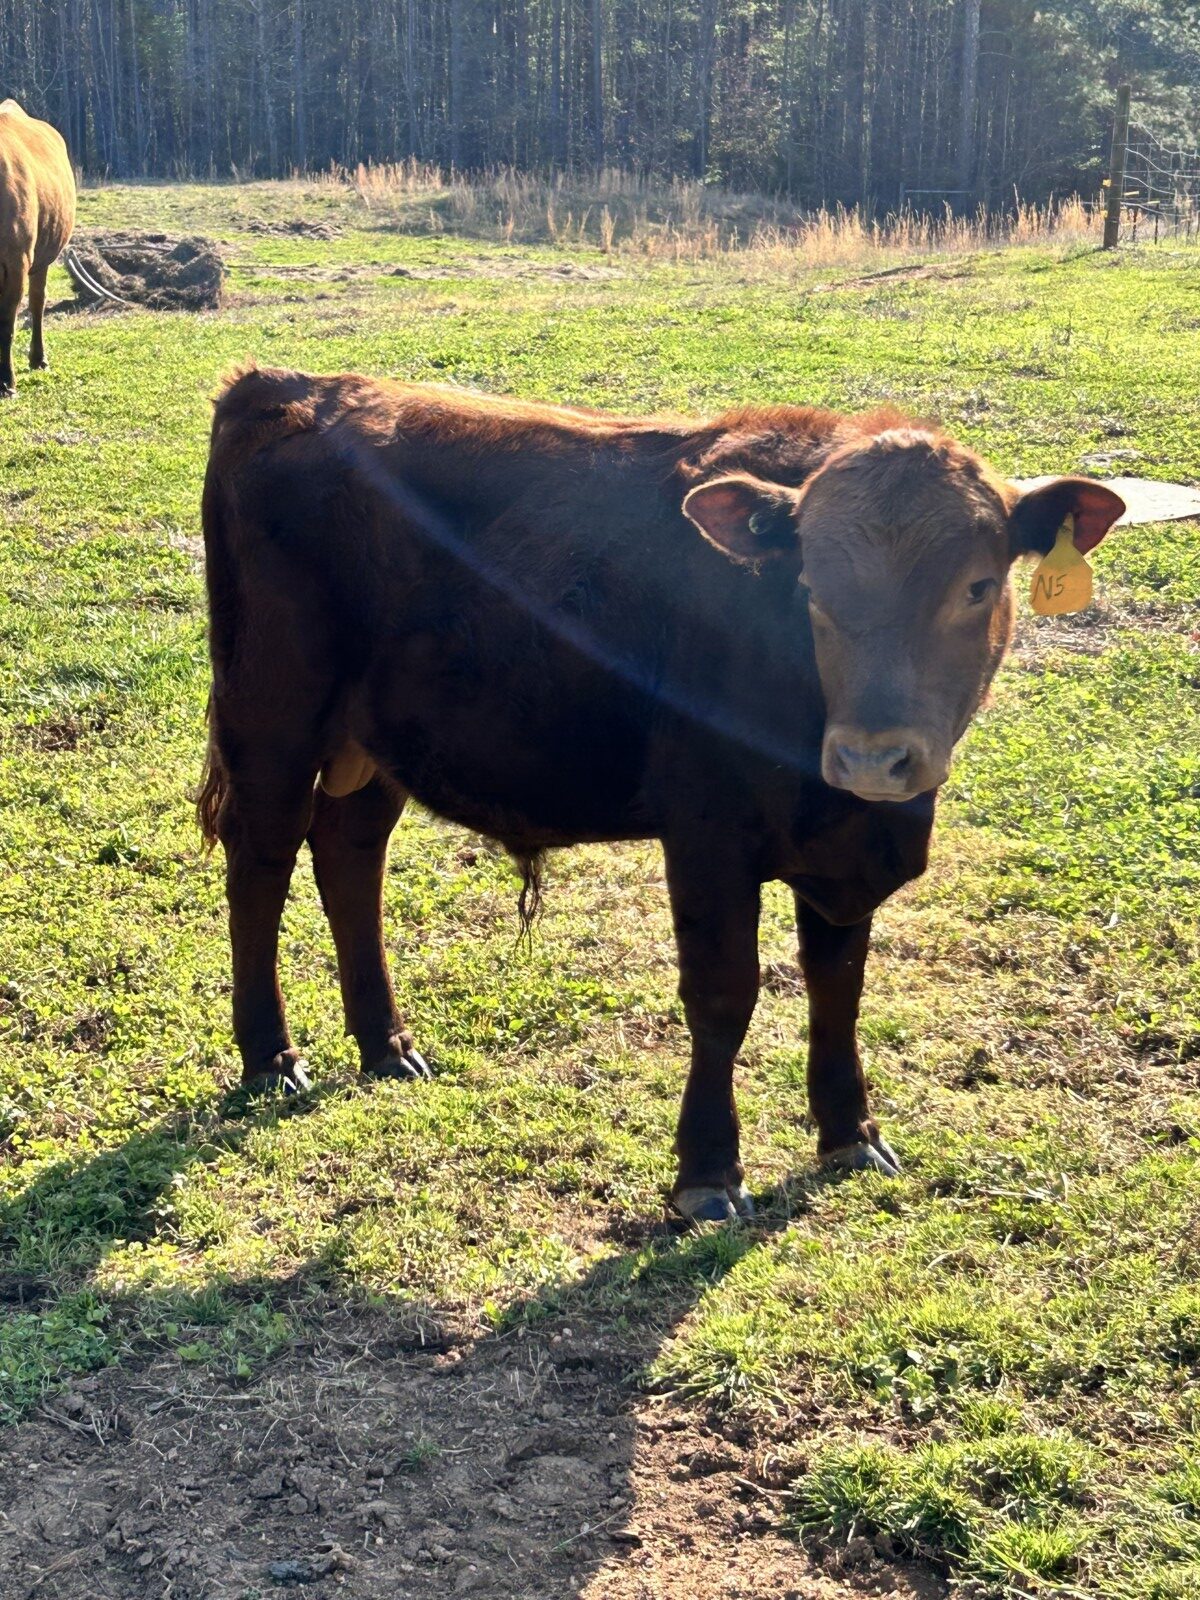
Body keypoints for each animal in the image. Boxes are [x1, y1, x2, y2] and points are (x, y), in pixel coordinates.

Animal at [0, 100, 75, 398]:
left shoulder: (16, 261)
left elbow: (6, 323)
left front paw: (6, 382)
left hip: (41, 257)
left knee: (37, 302)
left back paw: (38, 358)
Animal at [198, 367, 1124, 1223]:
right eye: (812, 589)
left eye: (977, 586)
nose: (870, 757)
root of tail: (286, 387)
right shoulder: (707, 829)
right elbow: (722, 994)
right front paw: (709, 1174)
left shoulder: (843, 850)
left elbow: (839, 984)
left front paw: (851, 1134)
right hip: (272, 715)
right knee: (262, 862)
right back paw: (271, 1057)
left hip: (373, 738)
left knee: (349, 851)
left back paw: (387, 1045)